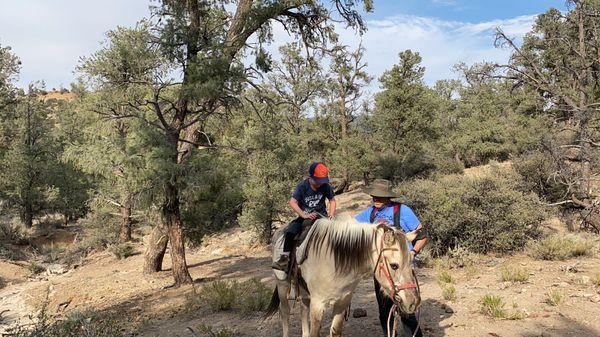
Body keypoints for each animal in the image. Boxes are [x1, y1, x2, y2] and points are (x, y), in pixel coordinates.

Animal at [264, 215, 420, 336]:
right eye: (394, 265)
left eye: (411, 261)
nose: (413, 302)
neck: (335, 260)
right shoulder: (318, 304)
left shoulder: (342, 302)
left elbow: (335, 331)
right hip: (282, 284)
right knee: (285, 312)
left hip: (303, 289)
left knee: (303, 309)